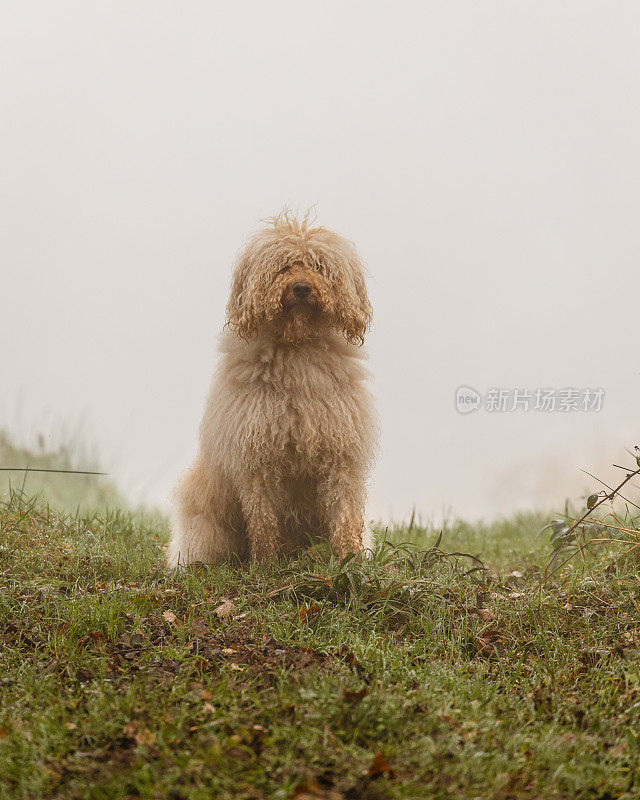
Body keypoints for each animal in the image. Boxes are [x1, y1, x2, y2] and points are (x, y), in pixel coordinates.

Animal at [168, 209, 378, 564]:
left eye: (318, 265)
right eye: (283, 266)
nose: (302, 288)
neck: (297, 349)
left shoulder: (340, 453)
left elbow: (345, 512)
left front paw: (348, 560)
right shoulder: (257, 459)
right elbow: (263, 519)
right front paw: (266, 563)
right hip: (207, 520)